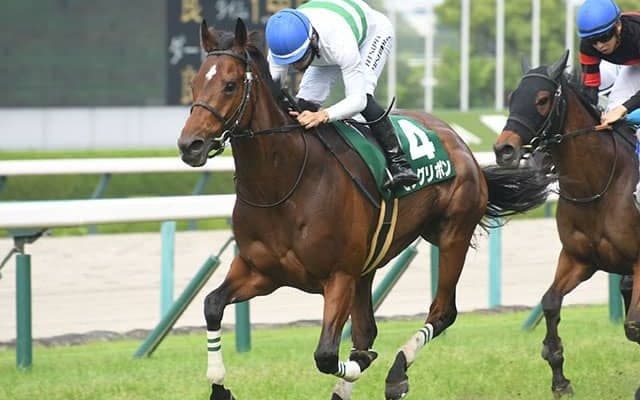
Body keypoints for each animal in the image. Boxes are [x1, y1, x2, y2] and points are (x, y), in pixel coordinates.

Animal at [178, 18, 551, 400]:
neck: (282, 186)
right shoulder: (259, 271)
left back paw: (397, 371)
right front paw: (219, 387)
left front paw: (367, 365)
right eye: (193, 83)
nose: (190, 145)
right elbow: (211, 305)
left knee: (442, 312)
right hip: (370, 265)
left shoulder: (339, 276)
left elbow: (328, 354)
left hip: (452, 235)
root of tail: (462, 146)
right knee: (368, 328)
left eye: (230, 85)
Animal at [493, 49, 640, 398]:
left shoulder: (639, 262)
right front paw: (559, 377)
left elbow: (634, 326)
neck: (599, 186)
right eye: (512, 96)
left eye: (543, 99)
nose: (504, 149)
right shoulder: (579, 259)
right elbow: (550, 303)